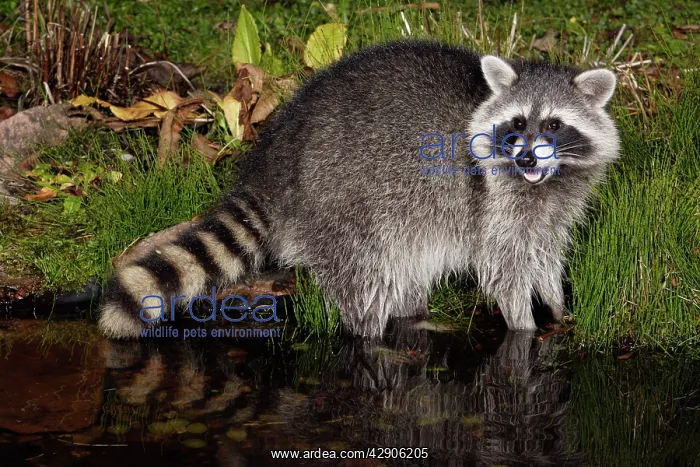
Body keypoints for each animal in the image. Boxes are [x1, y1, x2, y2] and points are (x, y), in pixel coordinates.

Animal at [98, 41, 619, 339]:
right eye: (516, 123)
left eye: (554, 124)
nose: (526, 158)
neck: (545, 183)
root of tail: (275, 157)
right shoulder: (494, 204)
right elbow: (503, 267)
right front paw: (523, 326)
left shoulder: (555, 204)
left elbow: (544, 251)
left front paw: (555, 302)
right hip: (344, 205)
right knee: (367, 281)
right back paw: (373, 336)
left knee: (407, 270)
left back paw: (414, 316)